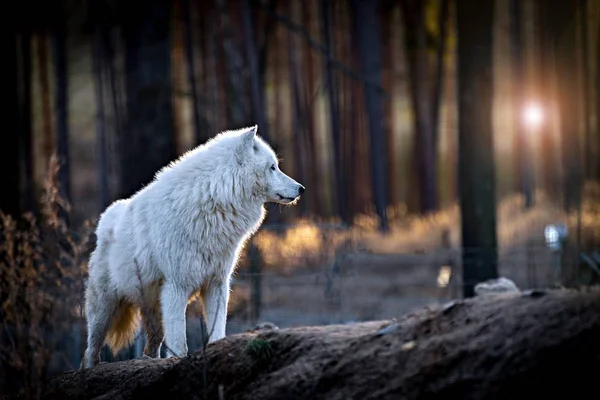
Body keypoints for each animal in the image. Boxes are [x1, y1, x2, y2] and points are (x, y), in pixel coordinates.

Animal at [81, 125, 304, 368]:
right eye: (272, 167)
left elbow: (218, 331)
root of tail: (106, 216)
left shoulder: (217, 284)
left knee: (151, 349)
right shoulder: (176, 287)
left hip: (154, 313)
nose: (301, 188)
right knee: (89, 352)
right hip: (104, 310)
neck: (213, 200)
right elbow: (180, 345)